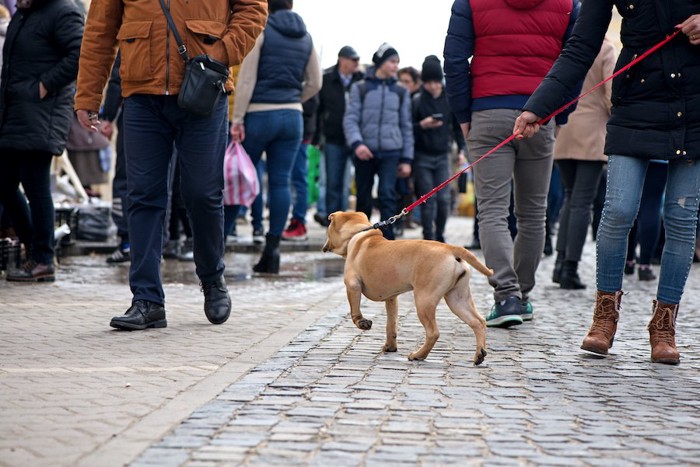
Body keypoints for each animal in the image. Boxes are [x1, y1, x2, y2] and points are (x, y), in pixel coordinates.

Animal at [322, 212, 492, 366]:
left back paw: (418, 355)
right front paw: (390, 347)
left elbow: (355, 312)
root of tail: (450, 249)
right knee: (478, 322)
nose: (325, 246)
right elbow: (391, 324)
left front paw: (362, 323)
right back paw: (479, 354)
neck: (361, 234)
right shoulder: (391, 298)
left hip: (424, 300)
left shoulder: (352, 285)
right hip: (457, 298)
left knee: (433, 333)